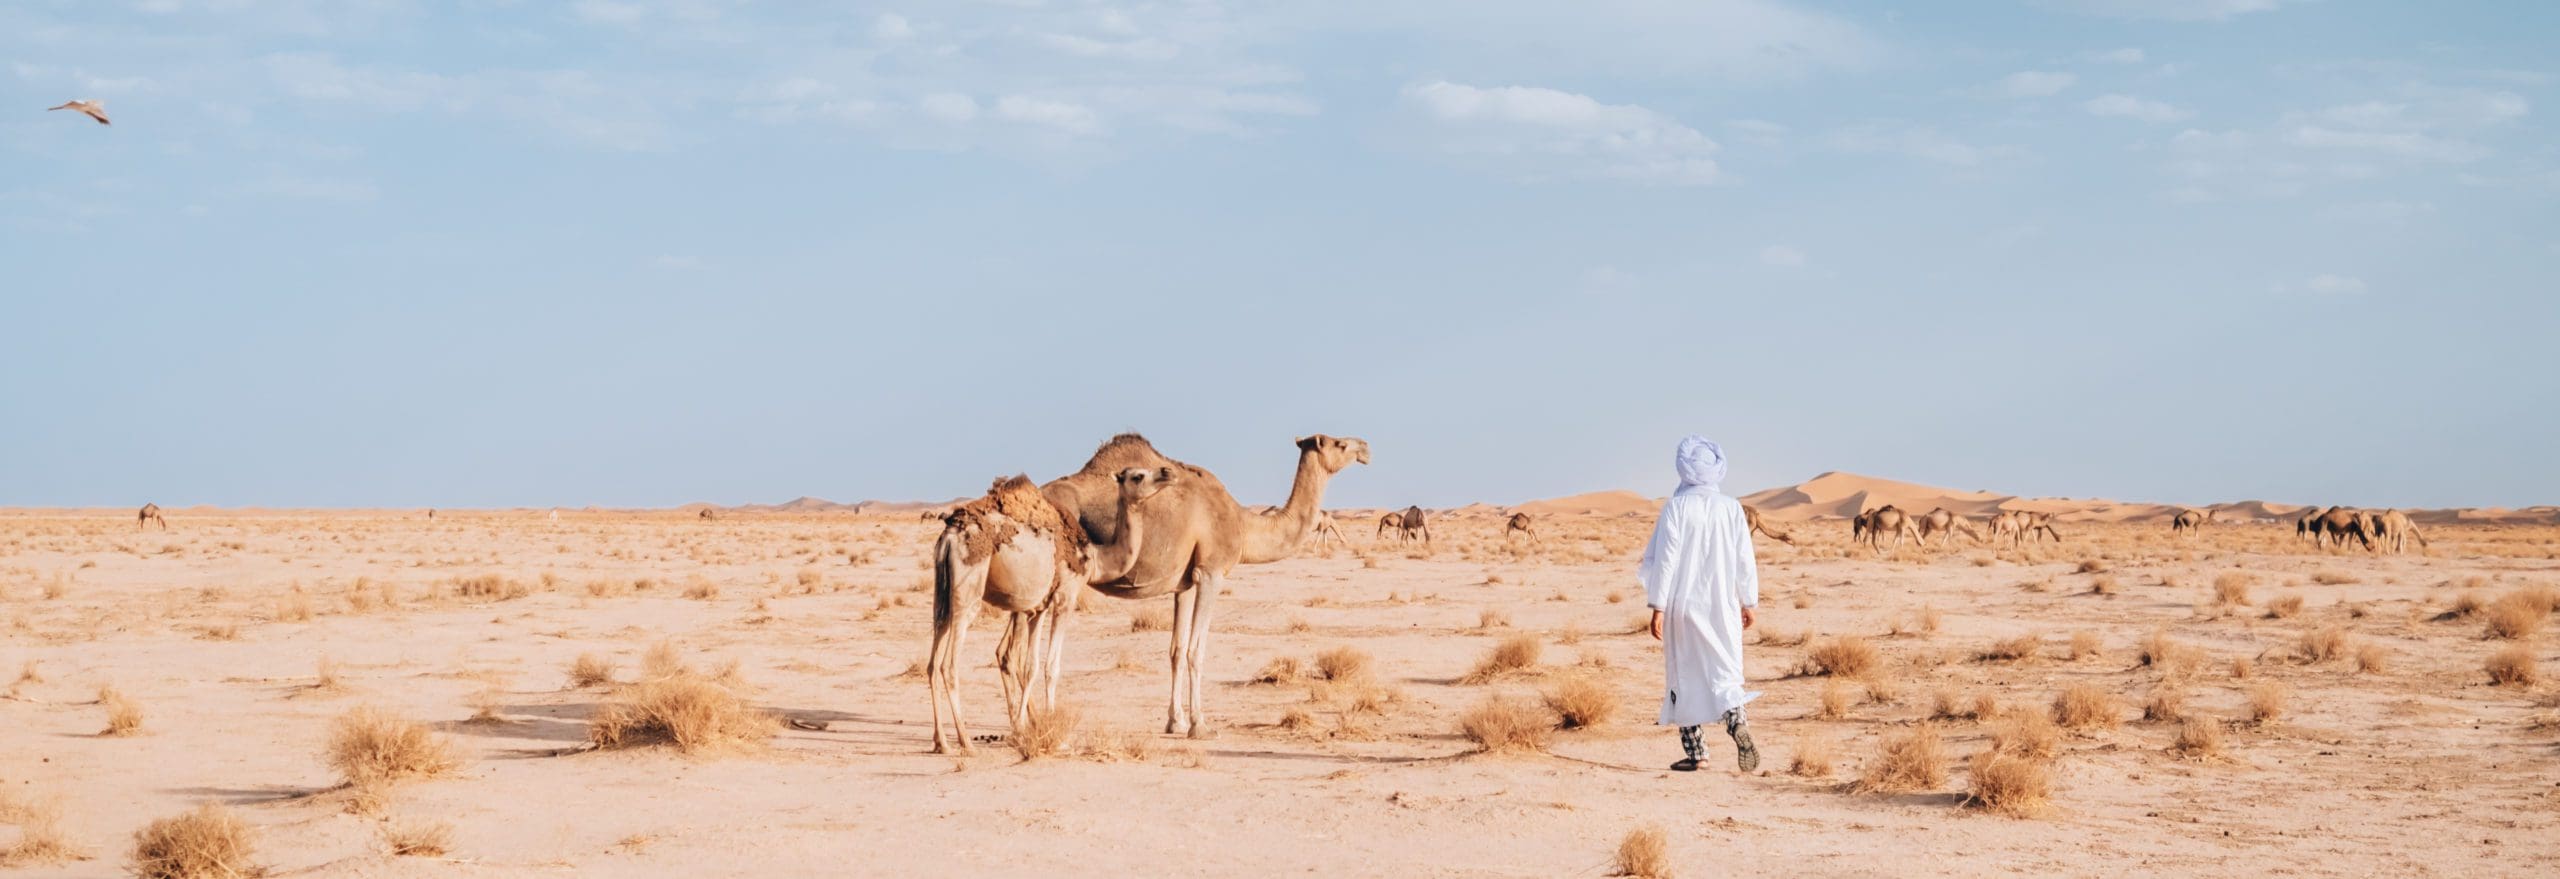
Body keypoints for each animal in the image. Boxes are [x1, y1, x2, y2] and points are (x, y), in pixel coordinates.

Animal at [926, 463, 1172, 753]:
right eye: (1138, 476)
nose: (1167, 472)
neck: (1094, 559)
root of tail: (950, 537)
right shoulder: (1065, 597)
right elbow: (1051, 667)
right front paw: (1054, 734)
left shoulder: (1038, 608)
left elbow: (1029, 666)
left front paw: (1025, 725)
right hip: (968, 589)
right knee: (949, 664)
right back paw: (965, 741)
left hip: (942, 592)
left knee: (934, 659)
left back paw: (941, 741)